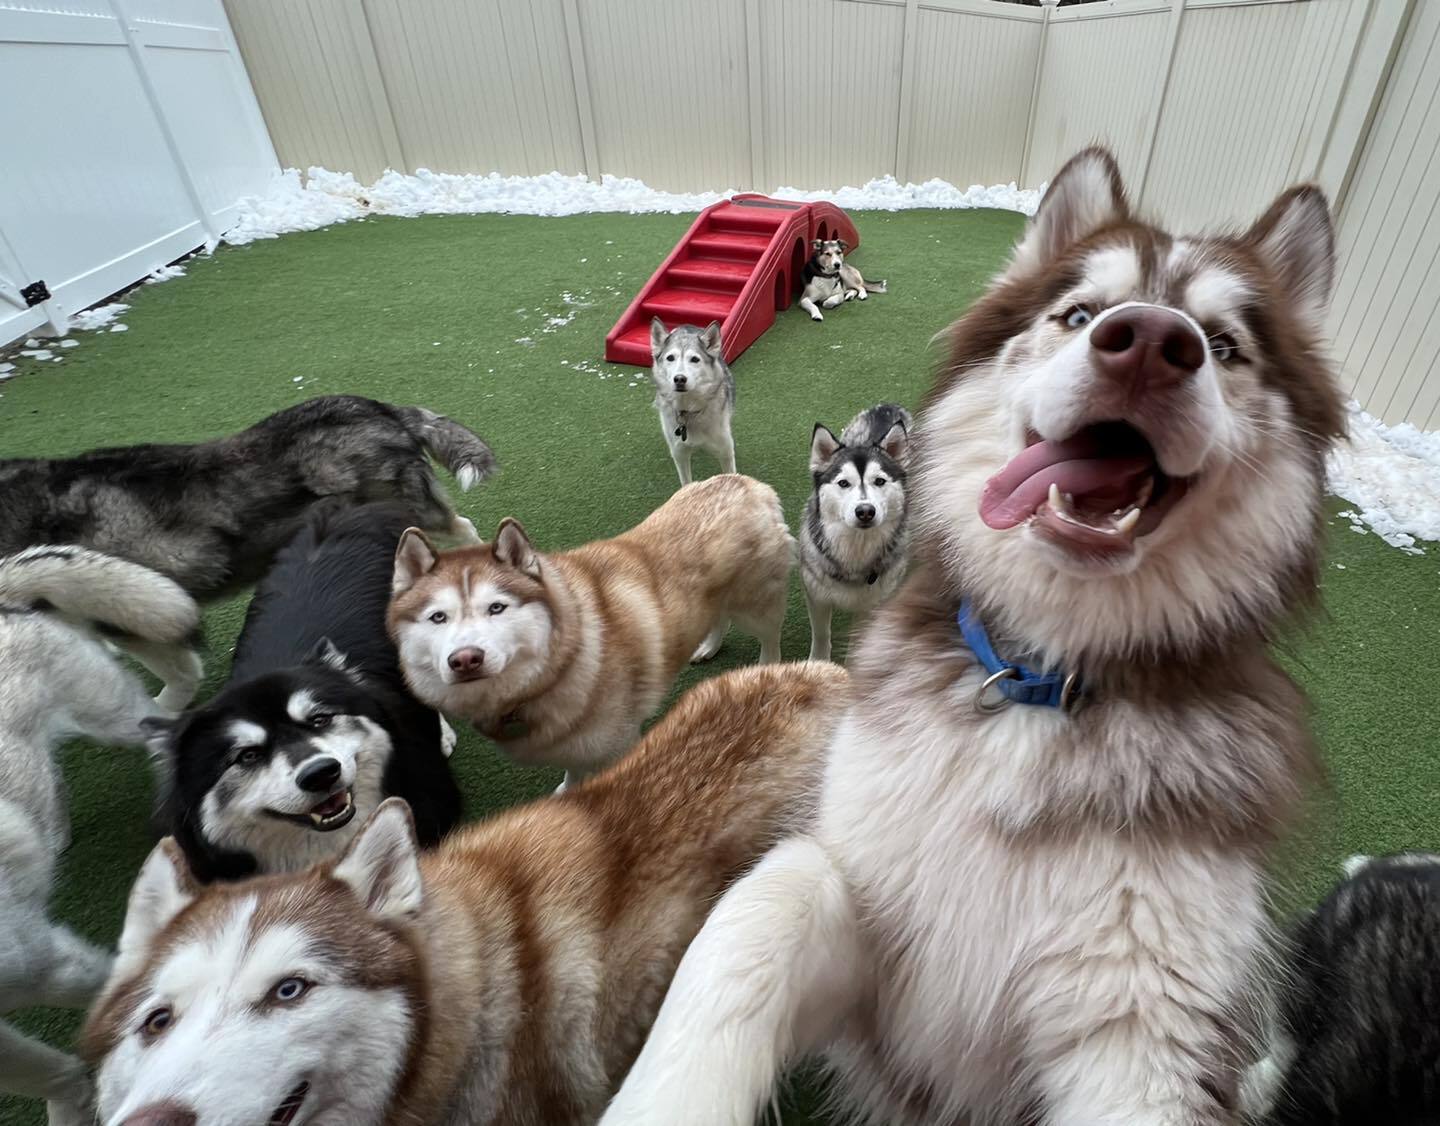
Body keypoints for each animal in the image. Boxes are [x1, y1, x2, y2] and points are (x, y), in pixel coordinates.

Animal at [389, 474, 793, 789]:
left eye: (497, 608)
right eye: (438, 617)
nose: (465, 659)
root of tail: (750, 484)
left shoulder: (619, 743)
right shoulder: (575, 739)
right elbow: (573, 769)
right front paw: (568, 790)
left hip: (756, 605)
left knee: (770, 637)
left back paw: (765, 667)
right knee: (718, 617)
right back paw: (708, 645)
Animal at [649, 318, 737, 487]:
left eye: (695, 359)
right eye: (670, 358)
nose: (679, 379)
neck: (689, 410)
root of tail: (686, 325)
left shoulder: (726, 451)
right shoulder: (679, 454)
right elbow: (686, 483)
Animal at [801, 403, 912, 661]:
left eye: (880, 481)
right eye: (843, 483)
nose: (865, 511)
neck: (856, 548)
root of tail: (889, 407)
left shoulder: (873, 605)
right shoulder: (816, 594)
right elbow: (821, 634)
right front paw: (818, 663)